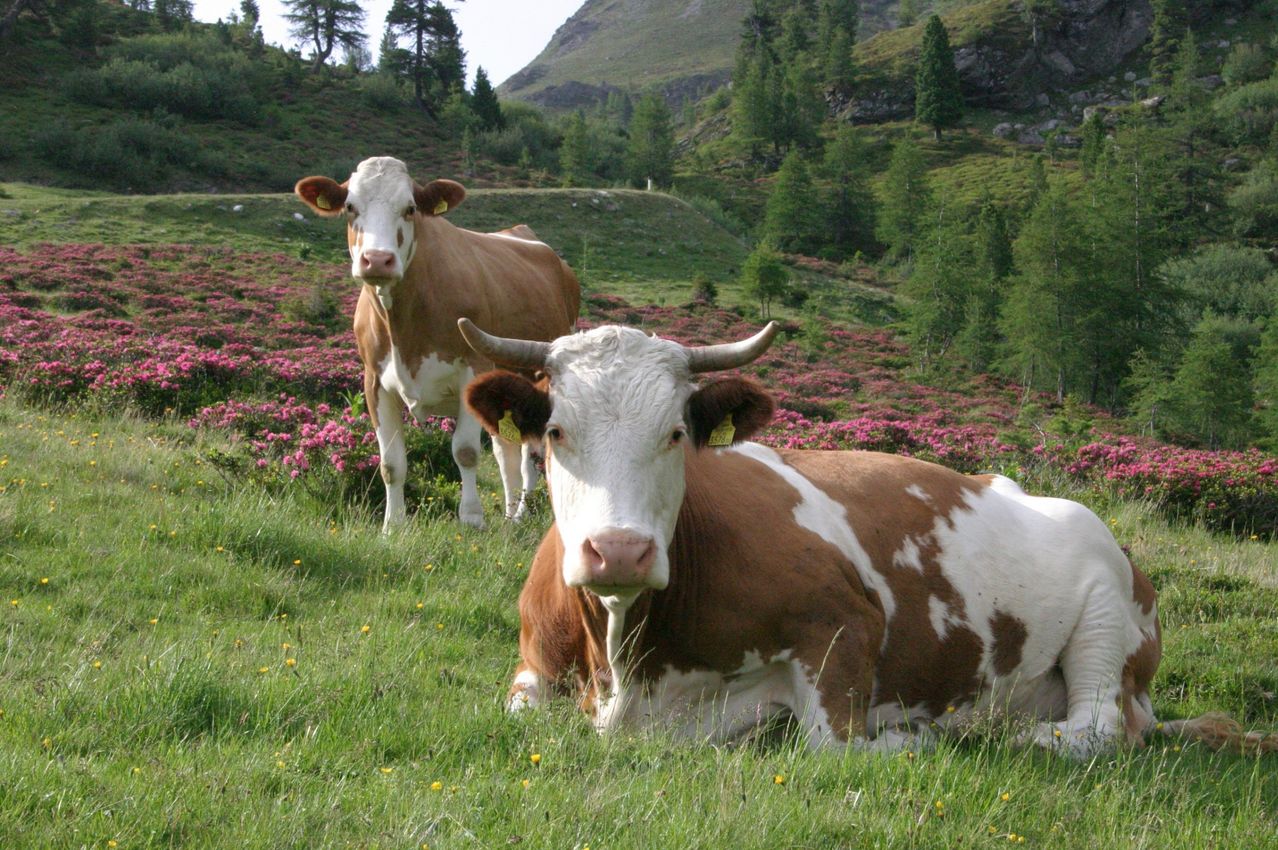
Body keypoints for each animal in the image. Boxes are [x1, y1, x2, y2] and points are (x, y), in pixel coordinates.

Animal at [295, 156, 579, 530]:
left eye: (410, 208)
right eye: (350, 207)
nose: (377, 259)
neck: (404, 328)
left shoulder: (473, 369)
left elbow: (465, 452)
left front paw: (471, 519)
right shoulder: (374, 381)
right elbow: (391, 463)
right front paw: (392, 525)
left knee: (528, 454)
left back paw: (519, 514)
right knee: (506, 452)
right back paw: (509, 515)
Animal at [458, 318, 1276, 757]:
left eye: (676, 434)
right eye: (556, 432)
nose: (621, 551)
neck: (627, 665)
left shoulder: (845, 622)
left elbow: (829, 742)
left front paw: (909, 735)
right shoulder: (534, 665)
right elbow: (518, 708)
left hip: (1109, 618)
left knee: (1097, 726)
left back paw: (983, 732)